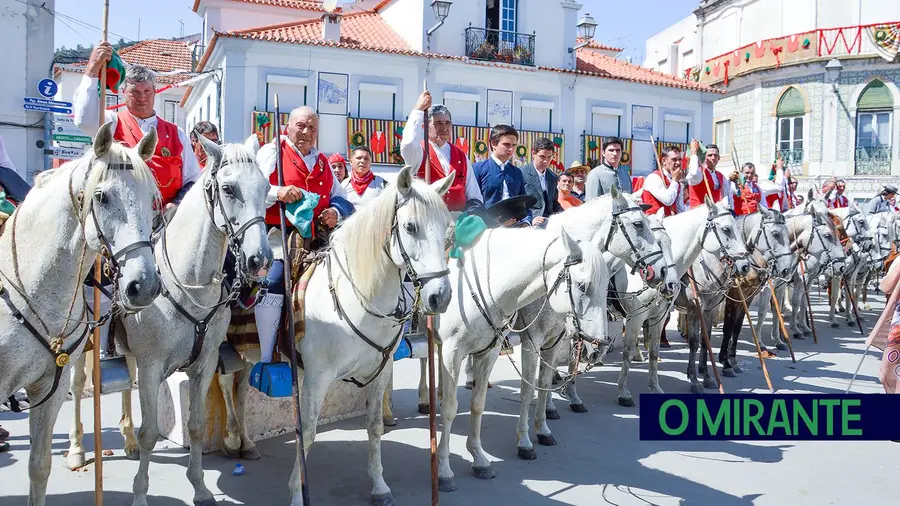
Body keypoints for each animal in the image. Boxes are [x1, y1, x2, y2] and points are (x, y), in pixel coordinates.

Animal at [67, 134, 270, 506]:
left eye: (265, 187)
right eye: (229, 188)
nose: (258, 259)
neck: (189, 282)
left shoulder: (204, 364)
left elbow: (196, 427)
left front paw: (201, 488)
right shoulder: (151, 366)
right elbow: (150, 433)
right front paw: (139, 495)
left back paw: (128, 440)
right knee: (77, 386)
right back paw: (76, 449)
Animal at [217, 166, 454, 506]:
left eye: (448, 228)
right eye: (410, 226)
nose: (440, 297)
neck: (358, 297)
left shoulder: (380, 372)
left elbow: (374, 426)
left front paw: (379, 486)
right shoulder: (317, 377)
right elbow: (308, 432)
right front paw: (297, 493)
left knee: (241, 389)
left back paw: (246, 443)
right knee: (226, 383)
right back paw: (232, 439)